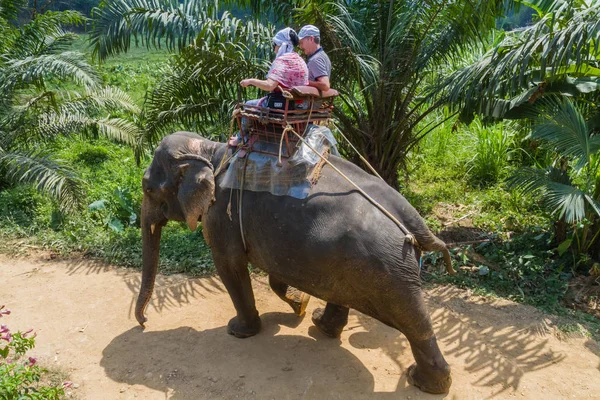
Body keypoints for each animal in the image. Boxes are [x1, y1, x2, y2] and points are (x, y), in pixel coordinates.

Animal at [136, 132, 452, 394]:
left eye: (148, 188)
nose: (144, 322)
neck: (211, 151)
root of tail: (412, 220)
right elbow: (275, 270)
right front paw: (299, 305)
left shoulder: (220, 218)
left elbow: (229, 265)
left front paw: (238, 331)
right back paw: (322, 326)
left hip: (388, 269)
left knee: (414, 323)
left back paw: (422, 383)